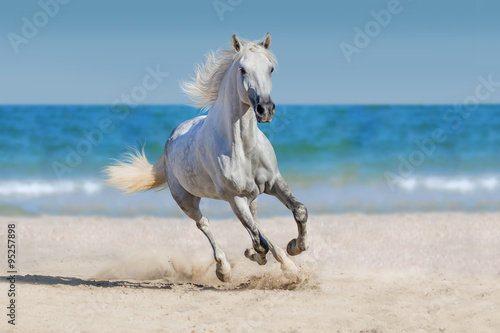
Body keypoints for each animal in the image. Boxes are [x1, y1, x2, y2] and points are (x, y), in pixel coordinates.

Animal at [106, 33, 308, 282]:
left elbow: (298, 212)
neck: (243, 148)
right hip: (187, 201)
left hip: (251, 196)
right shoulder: (234, 197)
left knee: (256, 223)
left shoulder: (274, 182)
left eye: (270, 68)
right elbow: (257, 239)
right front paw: (259, 256)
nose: (265, 109)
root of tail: (171, 138)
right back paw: (224, 269)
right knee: (205, 224)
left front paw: (294, 247)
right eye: (242, 69)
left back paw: (285, 263)